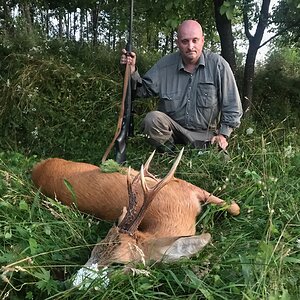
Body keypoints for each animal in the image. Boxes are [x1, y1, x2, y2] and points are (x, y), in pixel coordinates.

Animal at [31, 149, 240, 288]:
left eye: (118, 264)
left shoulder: (186, 187)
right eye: (94, 249)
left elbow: (235, 207)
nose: (71, 285)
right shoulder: (182, 185)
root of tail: (38, 168)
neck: (179, 214)